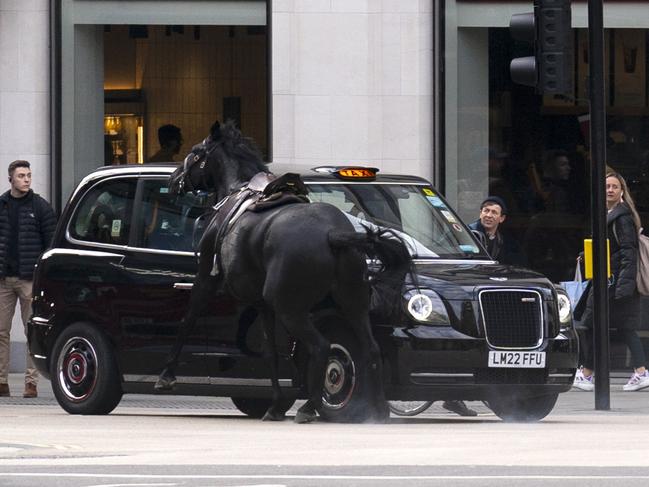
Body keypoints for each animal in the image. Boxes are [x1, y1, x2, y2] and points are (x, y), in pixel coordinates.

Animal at [156, 122, 408, 424]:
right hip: (352, 302)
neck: (235, 189)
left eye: (195, 152)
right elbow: (272, 354)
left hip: (291, 308)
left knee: (322, 347)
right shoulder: (263, 304)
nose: (173, 180)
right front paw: (275, 404)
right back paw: (378, 409)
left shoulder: (207, 278)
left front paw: (166, 375)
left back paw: (309, 407)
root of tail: (332, 234)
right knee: (370, 348)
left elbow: (188, 319)